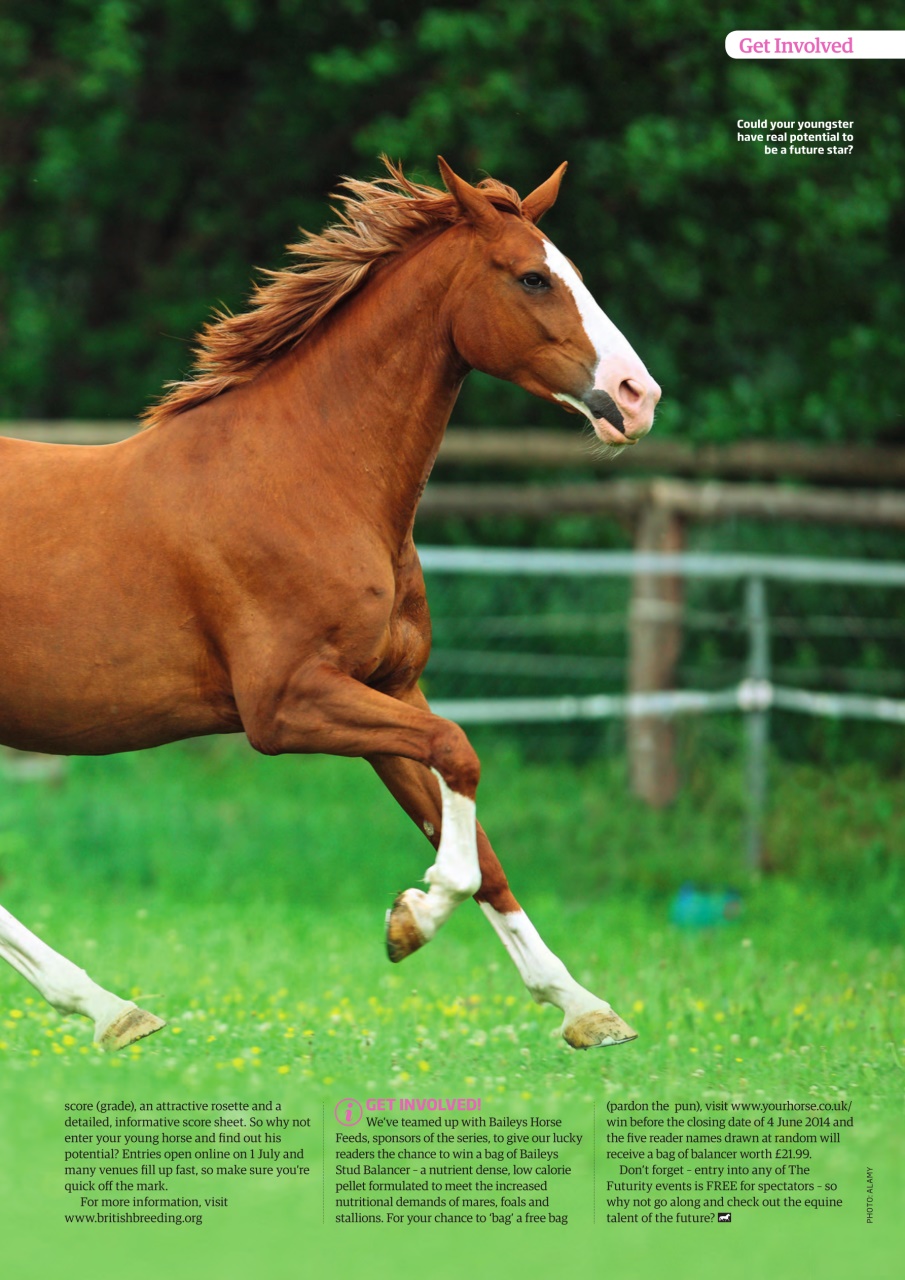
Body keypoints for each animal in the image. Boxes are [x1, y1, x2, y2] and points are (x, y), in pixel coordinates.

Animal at [0, 158, 660, 1051]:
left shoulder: (388, 690)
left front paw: (583, 1007)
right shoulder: (286, 706)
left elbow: (475, 834)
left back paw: (109, 1007)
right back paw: (105, 1007)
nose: (637, 395)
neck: (312, 478)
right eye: (530, 277)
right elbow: (460, 757)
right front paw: (411, 917)